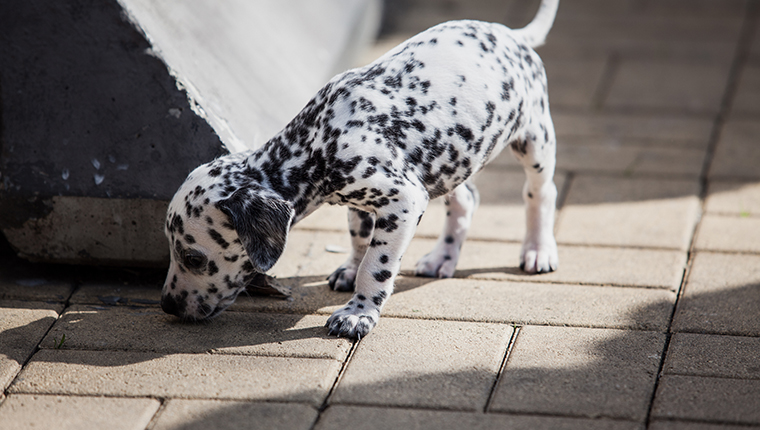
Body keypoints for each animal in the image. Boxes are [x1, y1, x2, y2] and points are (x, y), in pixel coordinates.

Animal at [160, 0, 560, 340]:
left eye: (194, 258)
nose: (167, 305)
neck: (318, 141)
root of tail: (513, 36)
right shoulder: (369, 200)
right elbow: (359, 238)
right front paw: (350, 269)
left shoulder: (404, 199)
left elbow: (376, 264)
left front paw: (358, 313)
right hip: (452, 159)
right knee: (466, 200)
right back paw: (442, 258)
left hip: (534, 139)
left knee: (540, 193)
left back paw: (538, 250)